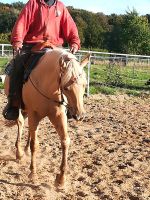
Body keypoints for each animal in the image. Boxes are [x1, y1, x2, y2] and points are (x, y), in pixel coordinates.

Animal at [3, 48, 90, 188]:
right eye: (66, 87)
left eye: (84, 85)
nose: (79, 115)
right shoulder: (34, 113)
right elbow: (35, 144)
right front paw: (33, 173)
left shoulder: (58, 115)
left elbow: (65, 141)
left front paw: (61, 179)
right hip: (21, 110)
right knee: (20, 123)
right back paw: (19, 153)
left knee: (29, 129)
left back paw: (25, 150)